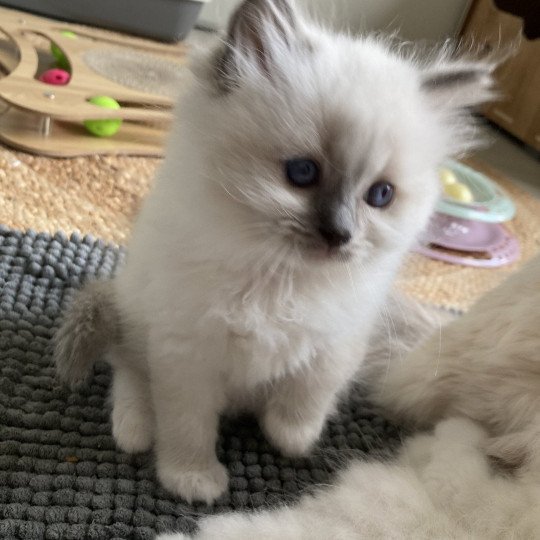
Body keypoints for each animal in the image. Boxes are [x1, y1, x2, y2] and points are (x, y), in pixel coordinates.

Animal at [53, 0, 494, 502]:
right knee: (129, 372)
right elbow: (187, 427)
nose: (340, 234)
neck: (279, 280)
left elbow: (307, 397)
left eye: (380, 195)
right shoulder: (187, 355)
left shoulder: (337, 342)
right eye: (302, 173)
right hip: (135, 314)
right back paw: (134, 430)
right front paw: (192, 480)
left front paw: (292, 440)